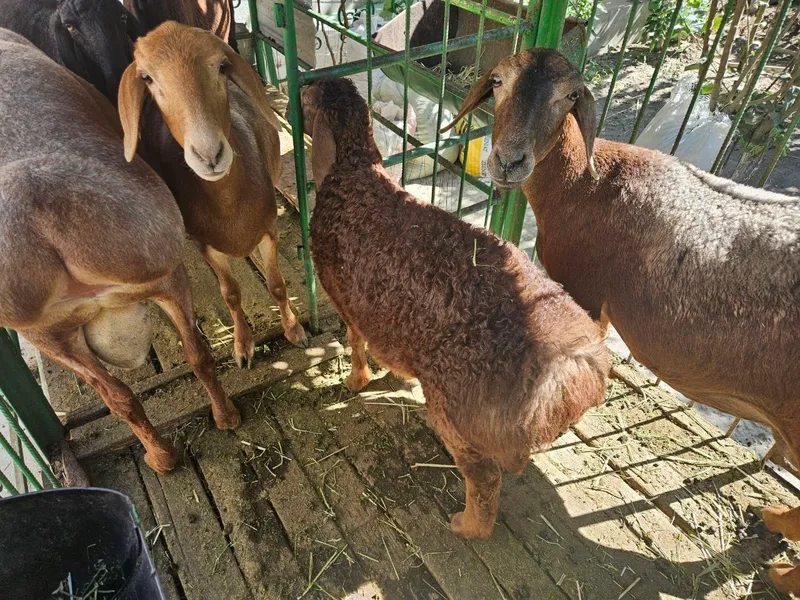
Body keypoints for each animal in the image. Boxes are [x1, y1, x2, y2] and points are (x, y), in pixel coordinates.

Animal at [118, 22, 307, 368]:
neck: (229, 204)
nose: (209, 154)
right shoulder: (206, 246)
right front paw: (243, 346)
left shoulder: (268, 230)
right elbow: (230, 294)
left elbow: (276, 284)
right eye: (146, 77)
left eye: (221, 66)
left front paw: (294, 329)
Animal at [301, 77, 610, 539]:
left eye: (307, 98)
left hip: (455, 413)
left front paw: (356, 382)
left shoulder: (345, 300)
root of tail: (572, 368)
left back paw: (466, 526)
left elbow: (355, 343)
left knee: (484, 477)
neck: (352, 171)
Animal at [447, 47, 800, 588]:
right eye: (499, 81)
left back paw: (782, 566)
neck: (588, 182)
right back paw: (773, 521)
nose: (508, 161)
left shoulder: (585, 288)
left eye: (569, 96)